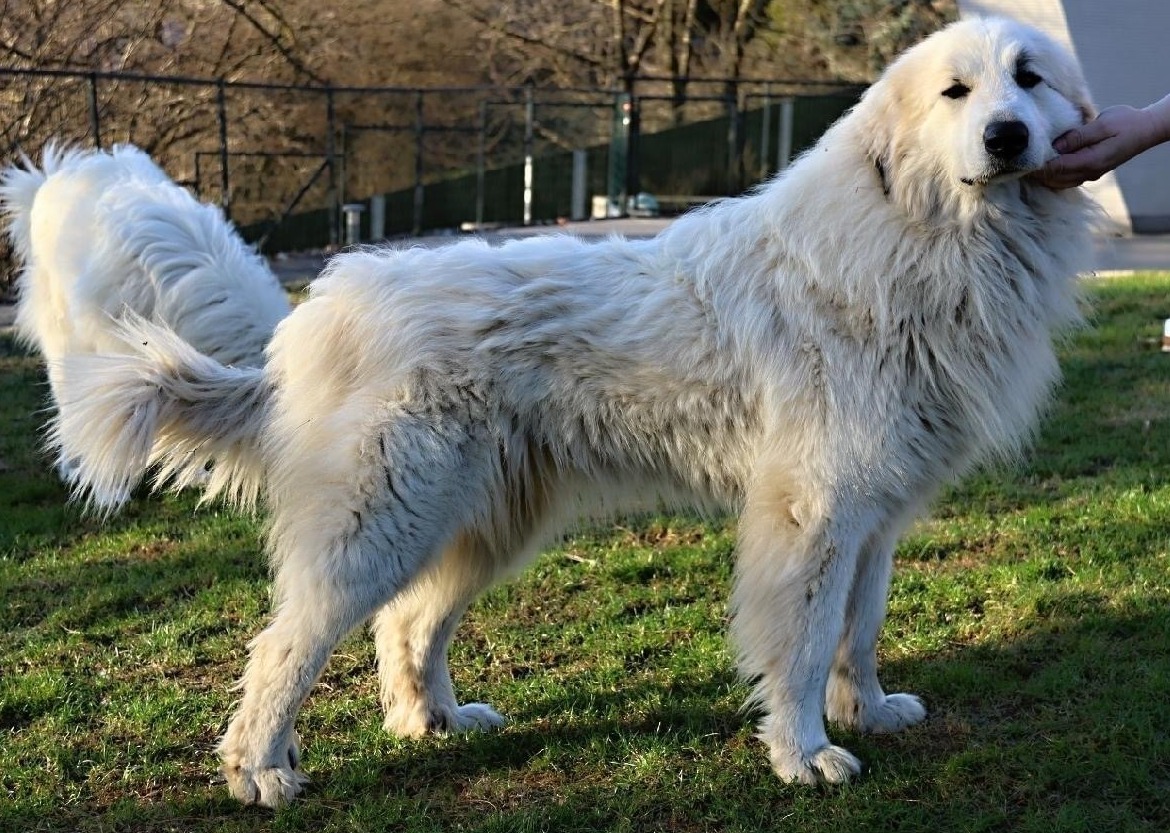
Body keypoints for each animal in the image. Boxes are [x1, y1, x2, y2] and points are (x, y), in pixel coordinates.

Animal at [47, 16, 1095, 804]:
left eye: (1028, 80)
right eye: (957, 94)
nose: (1008, 136)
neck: (921, 236)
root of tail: (315, 316)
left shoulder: (876, 513)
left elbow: (860, 629)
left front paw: (868, 709)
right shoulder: (814, 513)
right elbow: (799, 645)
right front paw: (804, 754)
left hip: (481, 521)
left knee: (408, 626)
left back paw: (433, 720)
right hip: (379, 523)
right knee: (287, 644)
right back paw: (260, 769)